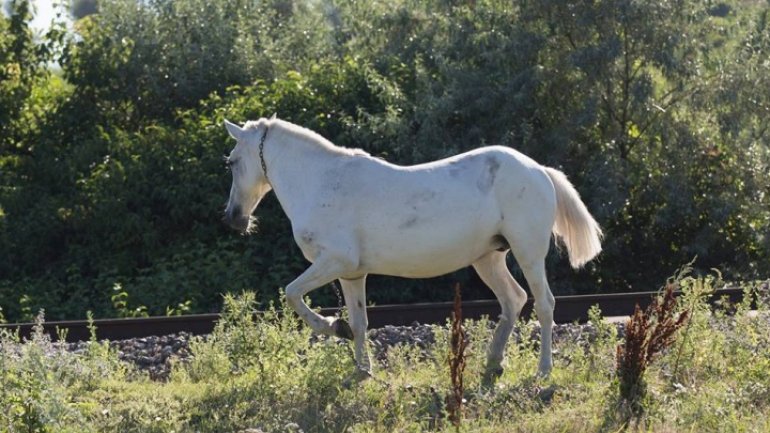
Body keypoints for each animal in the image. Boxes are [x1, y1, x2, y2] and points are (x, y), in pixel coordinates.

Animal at [222, 116, 600, 384]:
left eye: (231, 161)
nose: (233, 218)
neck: (321, 182)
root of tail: (540, 171)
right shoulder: (351, 273)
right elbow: (359, 321)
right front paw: (361, 371)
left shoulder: (334, 261)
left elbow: (292, 294)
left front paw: (333, 328)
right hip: (488, 259)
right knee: (513, 300)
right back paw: (493, 364)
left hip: (528, 253)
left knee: (543, 304)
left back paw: (543, 370)